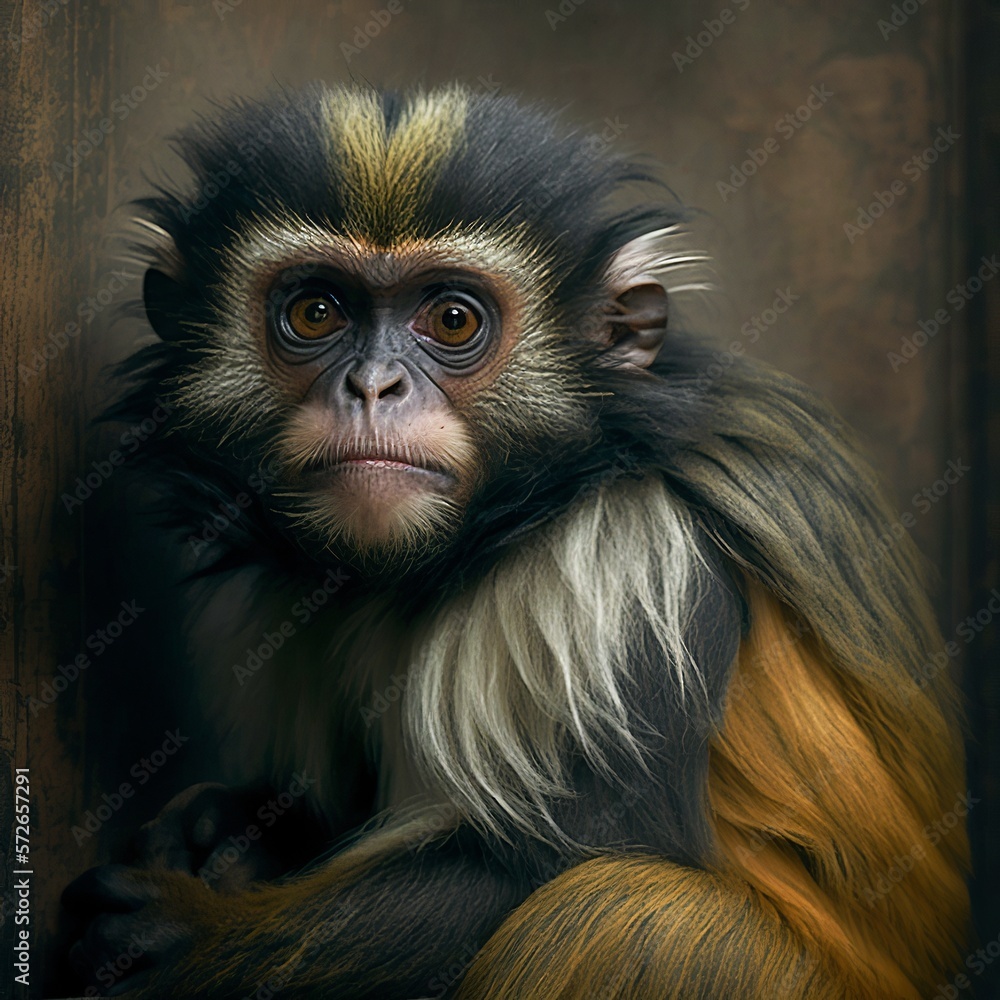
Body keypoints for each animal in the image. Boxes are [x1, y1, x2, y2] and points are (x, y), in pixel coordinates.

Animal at [62, 83, 970, 999]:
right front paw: (222, 827)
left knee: (622, 912)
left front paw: (178, 941)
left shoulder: (636, 555)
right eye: (316, 312)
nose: (373, 386)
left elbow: (551, 864)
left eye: (452, 319)